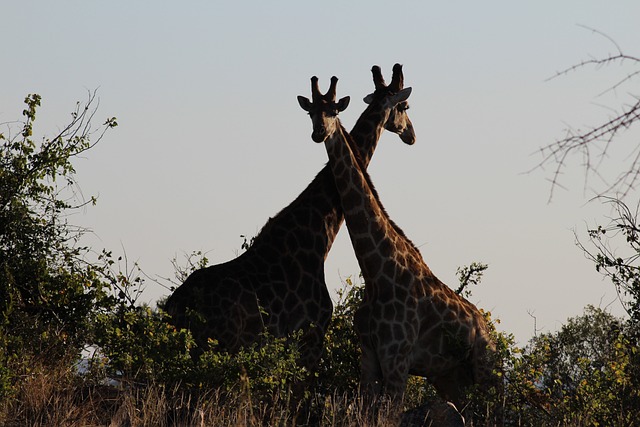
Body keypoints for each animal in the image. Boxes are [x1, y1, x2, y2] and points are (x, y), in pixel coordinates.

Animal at [165, 63, 416, 374]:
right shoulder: (311, 333)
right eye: (405, 106)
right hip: (218, 343)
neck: (318, 234)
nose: (410, 134)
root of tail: (172, 306)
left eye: (333, 111)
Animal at [298, 75, 498, 416]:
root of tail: (490, 333)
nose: (319, 133)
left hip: (487, 372)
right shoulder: (369, 359)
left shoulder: (397, 361)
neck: (377, 271)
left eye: (334, 111)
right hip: (449, 377)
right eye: (311, 112)